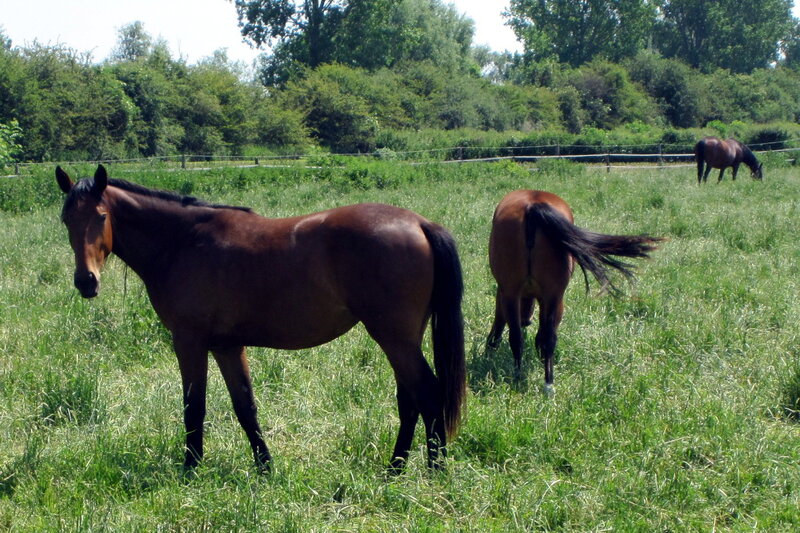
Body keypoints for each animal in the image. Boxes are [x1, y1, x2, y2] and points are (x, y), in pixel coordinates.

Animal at [56, 165, 466, 473]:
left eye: (101, 216)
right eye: (65, 220)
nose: (86, 281)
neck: (183, 242)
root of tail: (419, 223)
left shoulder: (189, 341)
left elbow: (194, 406)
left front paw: (191, 469)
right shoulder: (226, 345)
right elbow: (245, 407)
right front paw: (265, 468)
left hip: (394, 337)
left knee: (428, 395)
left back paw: (434, 471)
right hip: (402, 338)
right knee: (409, 399)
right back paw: (395, 469)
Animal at [486, 190, 662, 396]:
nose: (526, 320)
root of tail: (532, 205)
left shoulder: (516, 294)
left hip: (532, 295)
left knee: (525, 337)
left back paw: (530, 380)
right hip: (538, 295)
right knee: (536, 337)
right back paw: (539, 382)